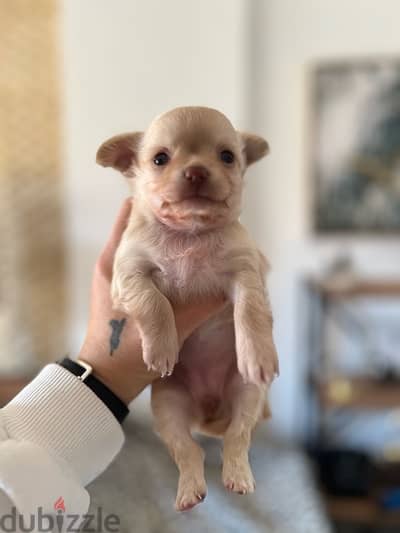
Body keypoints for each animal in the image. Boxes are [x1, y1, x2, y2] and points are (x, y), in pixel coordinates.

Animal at [96, 107, 278, 512]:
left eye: (227, 156)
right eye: (160, 159)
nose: (196, 171)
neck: (190, 233)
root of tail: (209, 411)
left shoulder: (247, 269)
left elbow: (251, 310)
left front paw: (258, 354)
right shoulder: (128, 273)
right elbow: (155, 301)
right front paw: (163, 347)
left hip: (247, 394)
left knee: (235, 439)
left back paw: (238, 477)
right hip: (169, 407)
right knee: (190, 450)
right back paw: (189, 491)